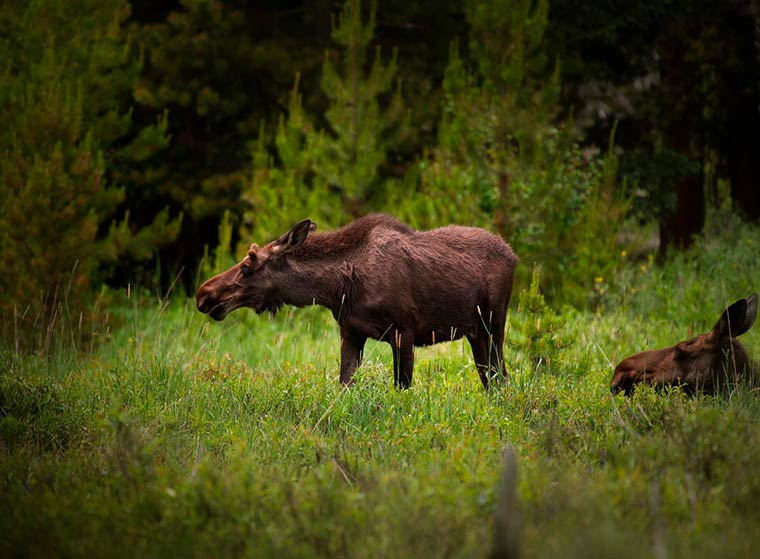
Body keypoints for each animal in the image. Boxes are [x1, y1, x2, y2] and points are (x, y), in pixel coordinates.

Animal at [196, 214, 516, 390]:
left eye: (247, 266)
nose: (204, 295)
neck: (338, 288)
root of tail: (514, 255)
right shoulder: (350, 332)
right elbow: (344, 385)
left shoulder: (404, 331)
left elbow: (402, 388)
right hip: (475, 332)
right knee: (490, 379)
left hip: (494, 323)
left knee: (500, 376)